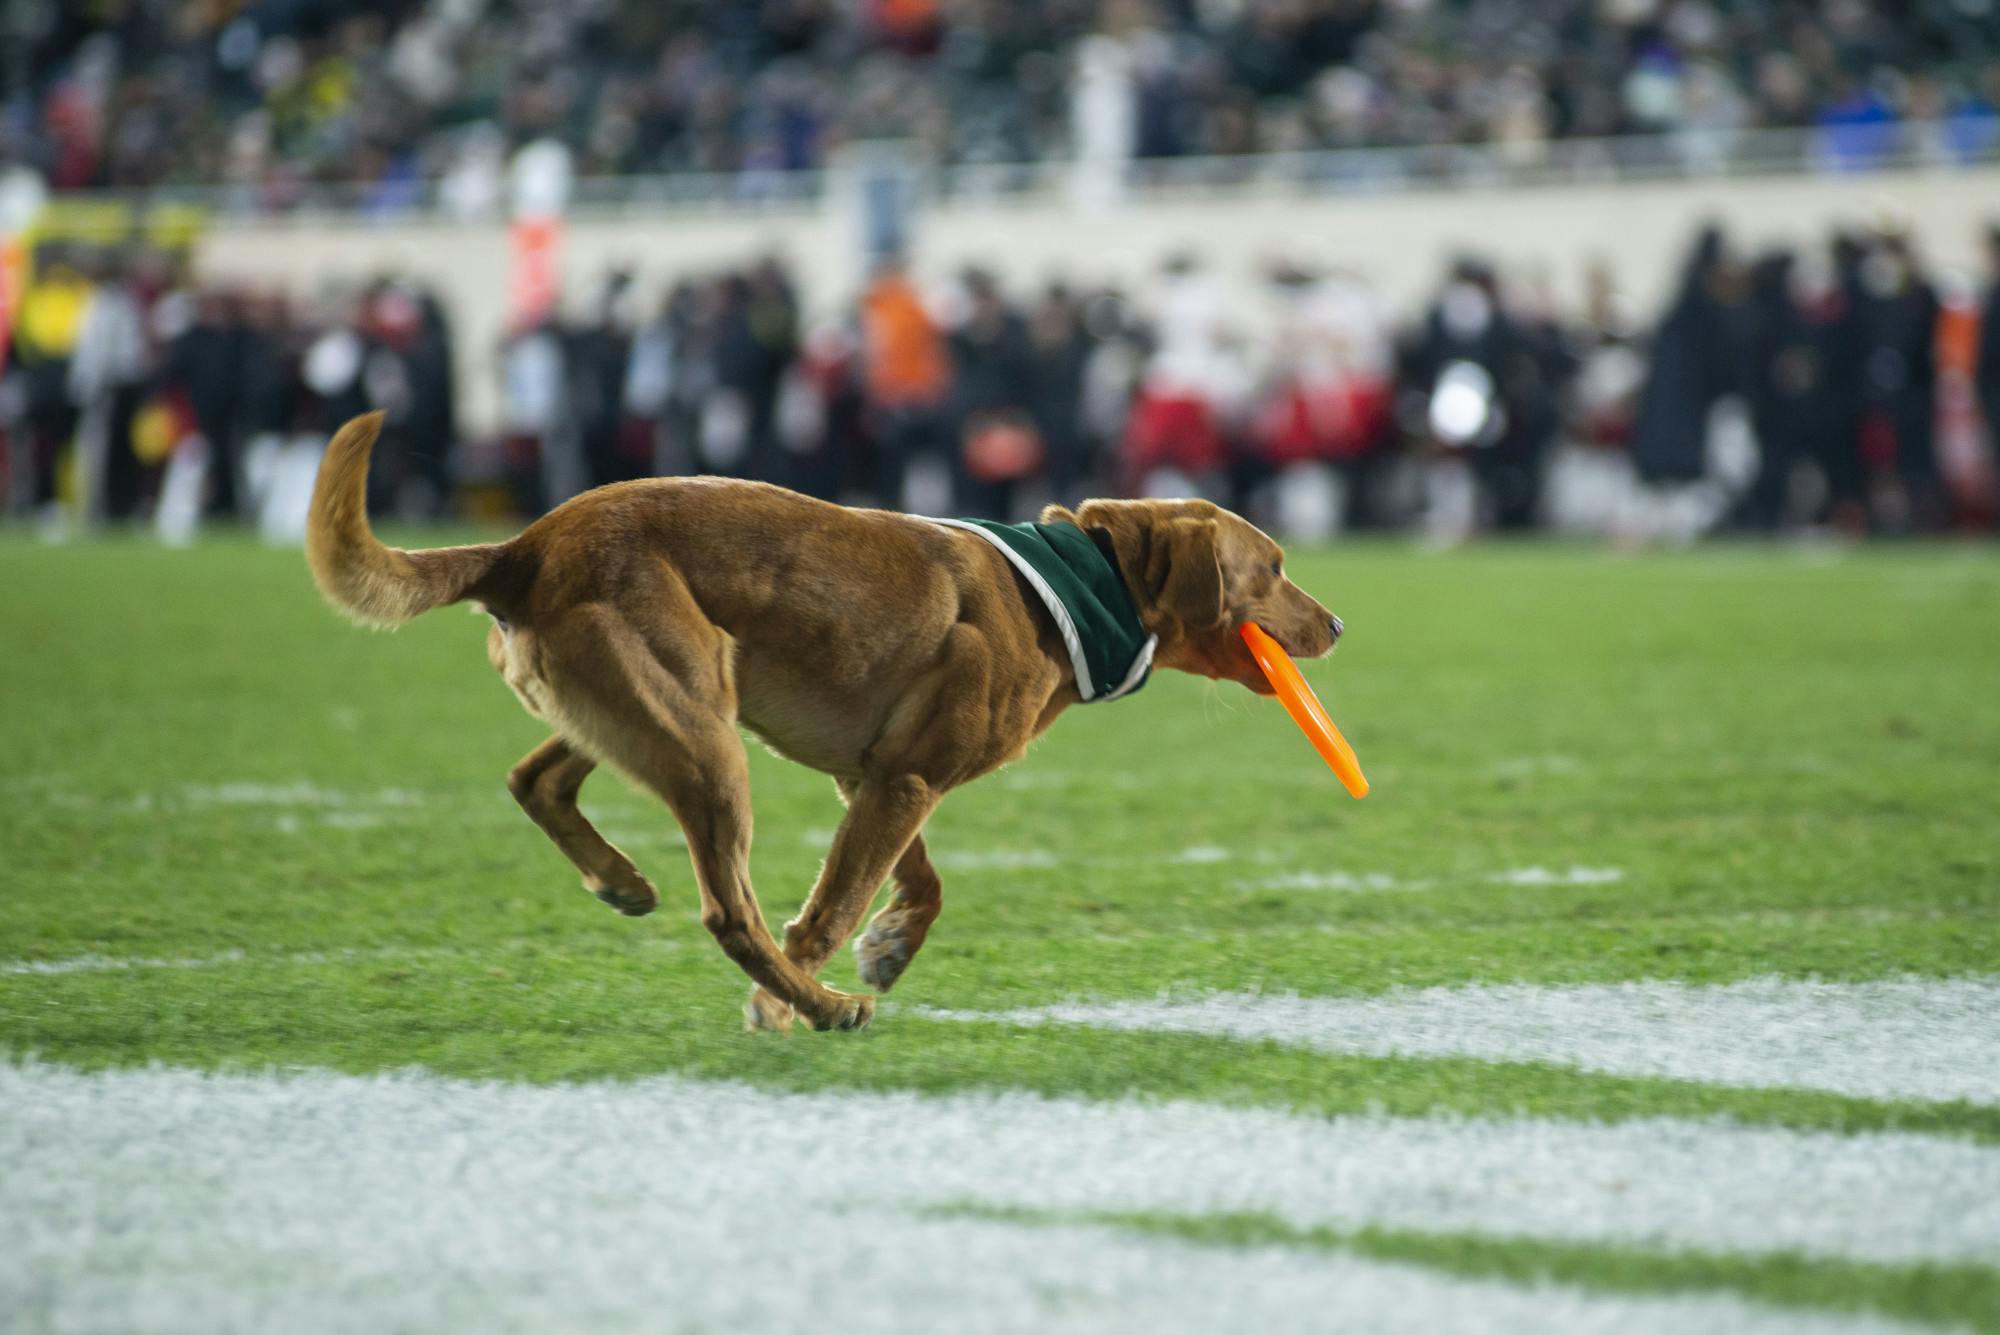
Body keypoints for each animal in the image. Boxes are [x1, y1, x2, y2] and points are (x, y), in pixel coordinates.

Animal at [308, 413, 1344, 1031]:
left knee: (535, 777)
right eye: (1276, 564)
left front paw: (888, 948)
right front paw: (790, 1001)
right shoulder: (905, 777)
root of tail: (525, 545)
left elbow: (918, 882)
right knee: (728, 910)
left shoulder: (880, 773)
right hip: (707, 737)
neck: (1082, 589)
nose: (1337, 623)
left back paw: (621, 880)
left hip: (665, 704)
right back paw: (819, 1004)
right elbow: (836, 901)